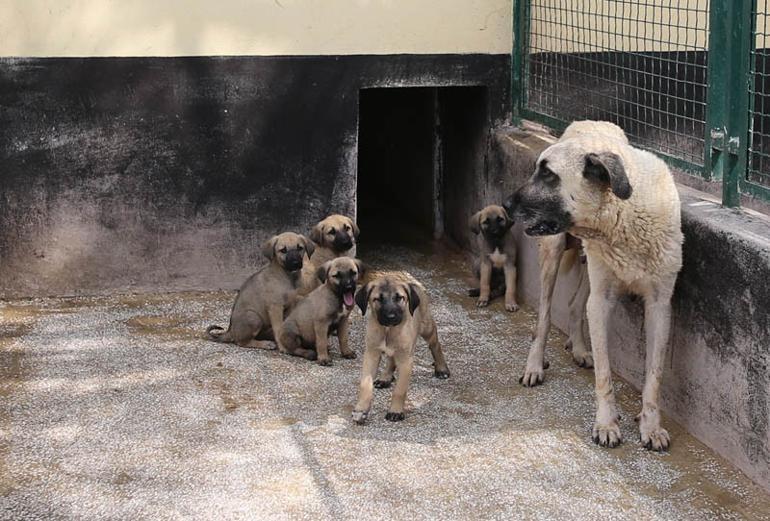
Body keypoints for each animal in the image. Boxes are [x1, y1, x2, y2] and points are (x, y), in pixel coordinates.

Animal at [350, 272, 450, 422]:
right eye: (377, 299)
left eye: (399, 298)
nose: (391, 316)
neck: (388, 330)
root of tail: (412, 282)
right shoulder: (371, 354)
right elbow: (365, 384)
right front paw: (361, 409)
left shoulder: (406, 361)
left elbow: (400, 390)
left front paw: (395, 411)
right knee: (391, 359)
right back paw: (385, 377)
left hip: (427, 328)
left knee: (435, 345)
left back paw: (442, 368)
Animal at [508, 122, 680, 450]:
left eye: (548, 174)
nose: (506, 204)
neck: (625, 213)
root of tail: (589, 123)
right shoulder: (602, 302)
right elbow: (605, 374)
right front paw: (606, 424)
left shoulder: (659, 306)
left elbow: (654, 376)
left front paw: (650, 425)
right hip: (553, 255)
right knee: (544, 318)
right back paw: (534, 365)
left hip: (590, 269)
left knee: (575, 306)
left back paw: (578, 348)